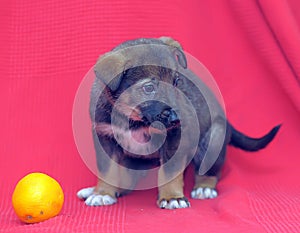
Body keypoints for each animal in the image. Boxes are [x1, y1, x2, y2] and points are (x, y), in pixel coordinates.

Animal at [77, 36, 278, 209]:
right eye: (148, 88)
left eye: (176, 81)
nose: (177, 118)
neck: (133, 119)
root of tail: (227, 123)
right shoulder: (105, 138)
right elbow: (107, 171)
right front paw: (103, 193)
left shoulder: (174, 138)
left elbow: (170, 172)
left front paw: (172, 197)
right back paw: (97, 191)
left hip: (213, 138)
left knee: (210, 170)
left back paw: (204, 187)